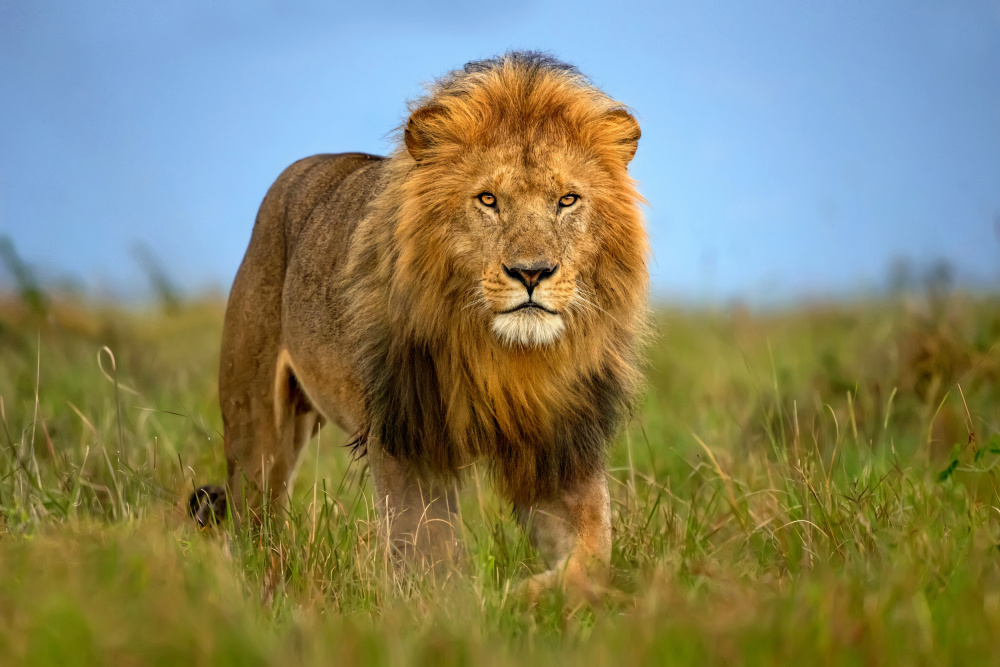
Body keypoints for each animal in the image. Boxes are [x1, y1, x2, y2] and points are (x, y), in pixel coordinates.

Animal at [191, 51, 648, 595]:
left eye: (567, 200)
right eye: (488, 199)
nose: (531, 273)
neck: (507, 359)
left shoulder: (560, 444)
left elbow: (593, 557)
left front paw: (524, 594)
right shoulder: (407, 437)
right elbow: (428, 554)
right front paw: (467, 604)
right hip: (255, 420)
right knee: (252, 517)